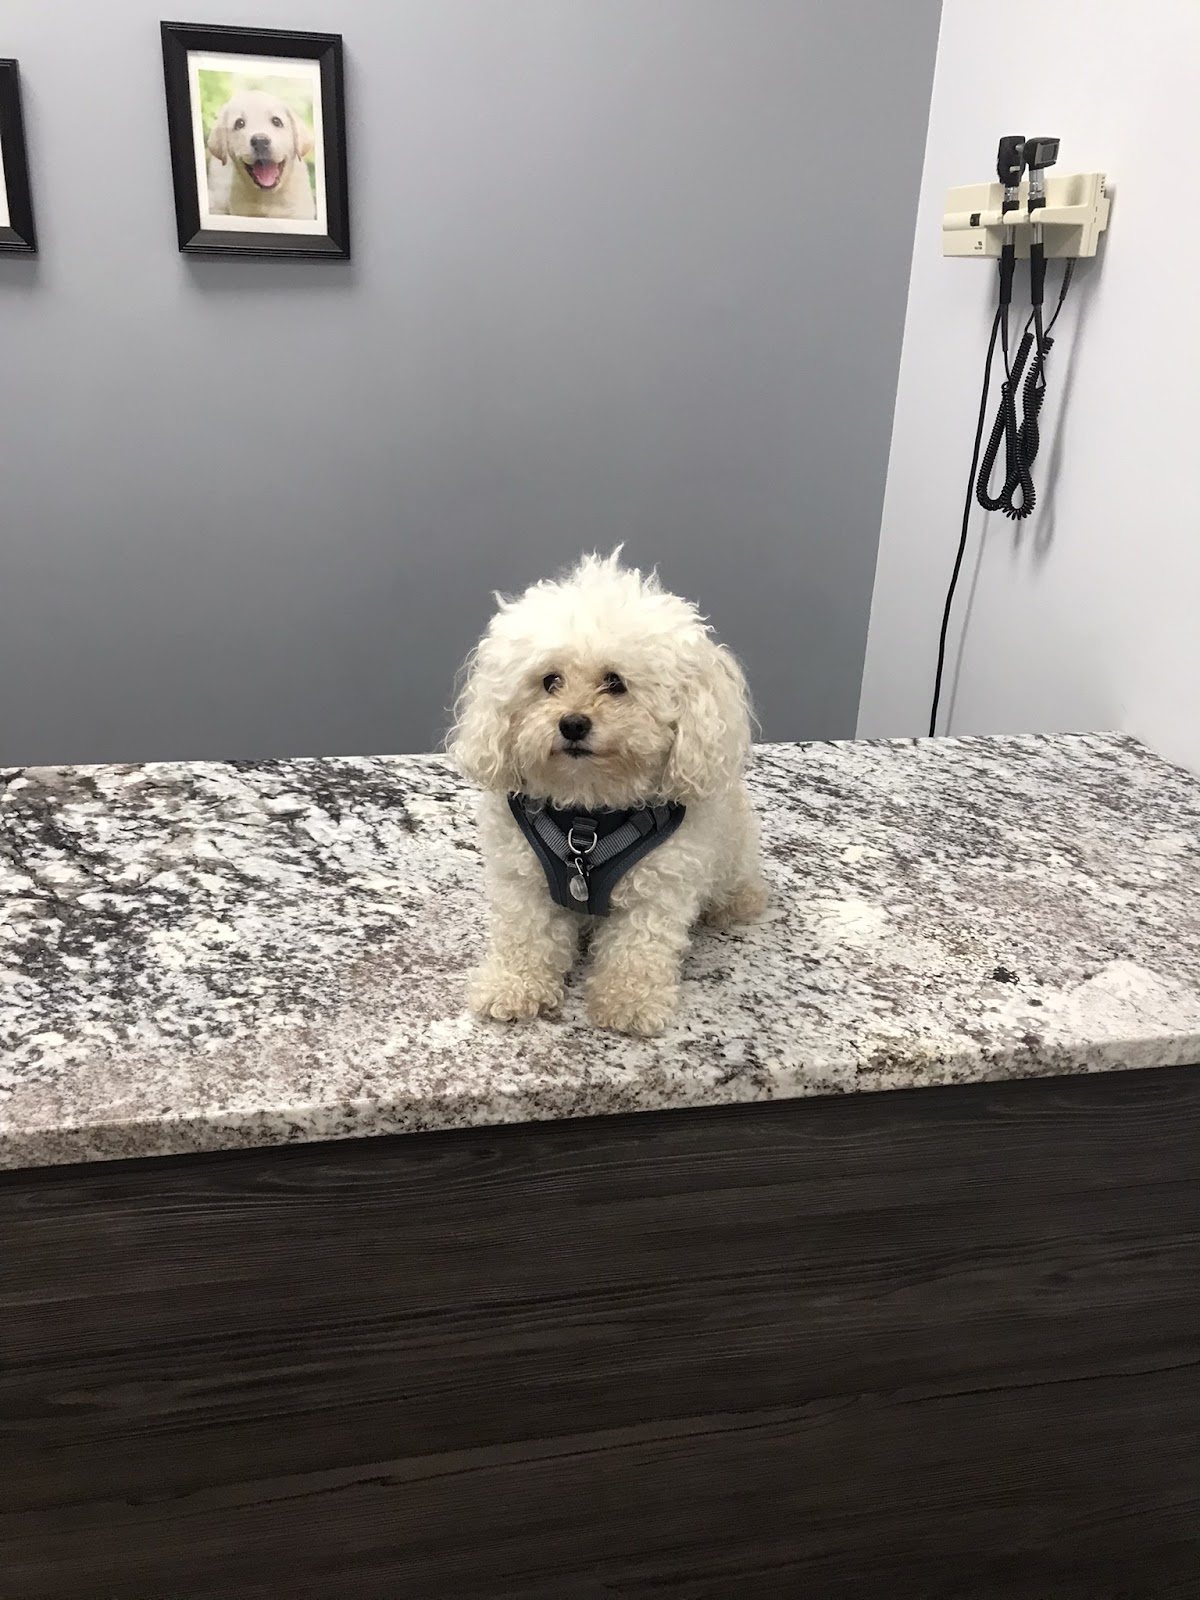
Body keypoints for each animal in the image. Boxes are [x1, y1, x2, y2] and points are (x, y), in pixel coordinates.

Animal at [450, 552, 767, 1036]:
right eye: (550, 680)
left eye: (615, 682)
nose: (573, 723)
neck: (588, 813)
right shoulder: (523, 880)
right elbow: (524, 936)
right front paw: (513, 986)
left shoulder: (659, 889)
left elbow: (638, 950)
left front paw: (628, 1003)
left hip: (732, 852)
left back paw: (736, 903)